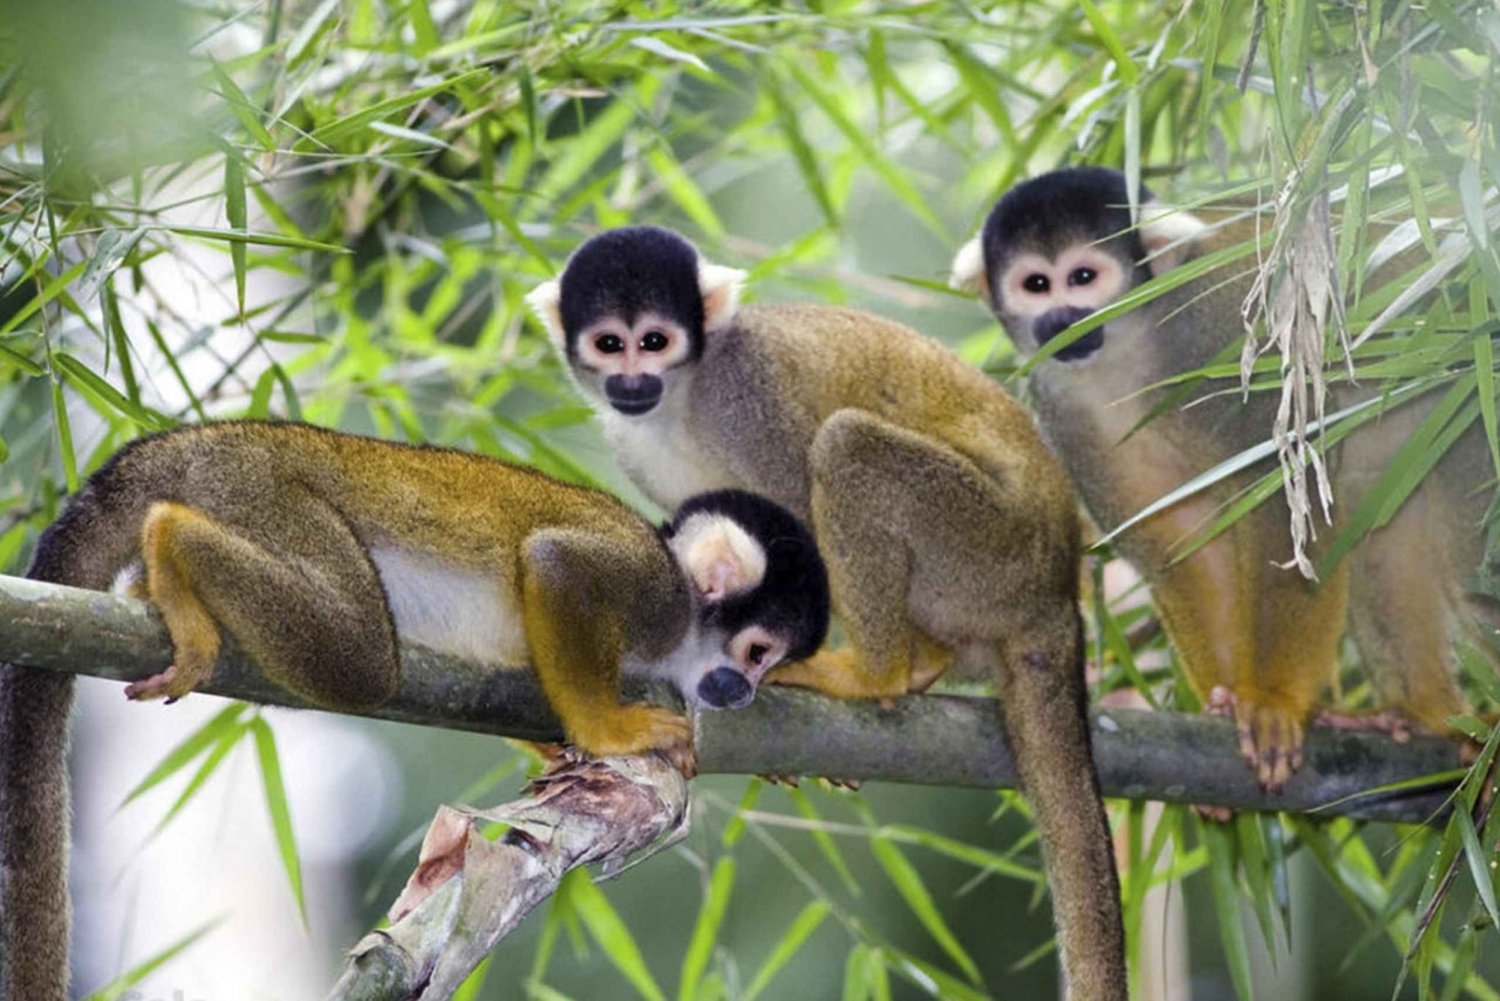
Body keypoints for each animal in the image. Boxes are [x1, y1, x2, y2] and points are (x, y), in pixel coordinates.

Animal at [0, 420, 834, 1001]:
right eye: (758, 651)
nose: (748, 690)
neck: (683, 616)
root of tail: (206, 437)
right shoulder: (651, 591)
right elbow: (555, 563)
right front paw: (609, 728)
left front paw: (556, 749)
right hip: (265, 495)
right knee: (360, 659)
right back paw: (171, 541)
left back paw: (162, 581)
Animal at [528, 231, 1128, 1001]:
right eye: (610, 344)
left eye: (654, 341)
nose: (632, 381)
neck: (683, 395)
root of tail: (1057, 583)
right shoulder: (629, 441)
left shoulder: (746, 397)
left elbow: (797, 517)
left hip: (990, 552)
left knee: (846, 447)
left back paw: (880, 670)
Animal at [954, 164, 1494, 792]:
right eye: (1035, 284)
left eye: (1082, 278)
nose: (1061, 321)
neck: (1133, 348)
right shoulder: (1064, 413)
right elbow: (1181, 541)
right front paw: (1229, 700)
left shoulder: (1218, 343)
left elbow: (1287, 507)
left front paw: (1273, 700)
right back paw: (1429, 713)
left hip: (1472, 414)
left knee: (1471, 567)